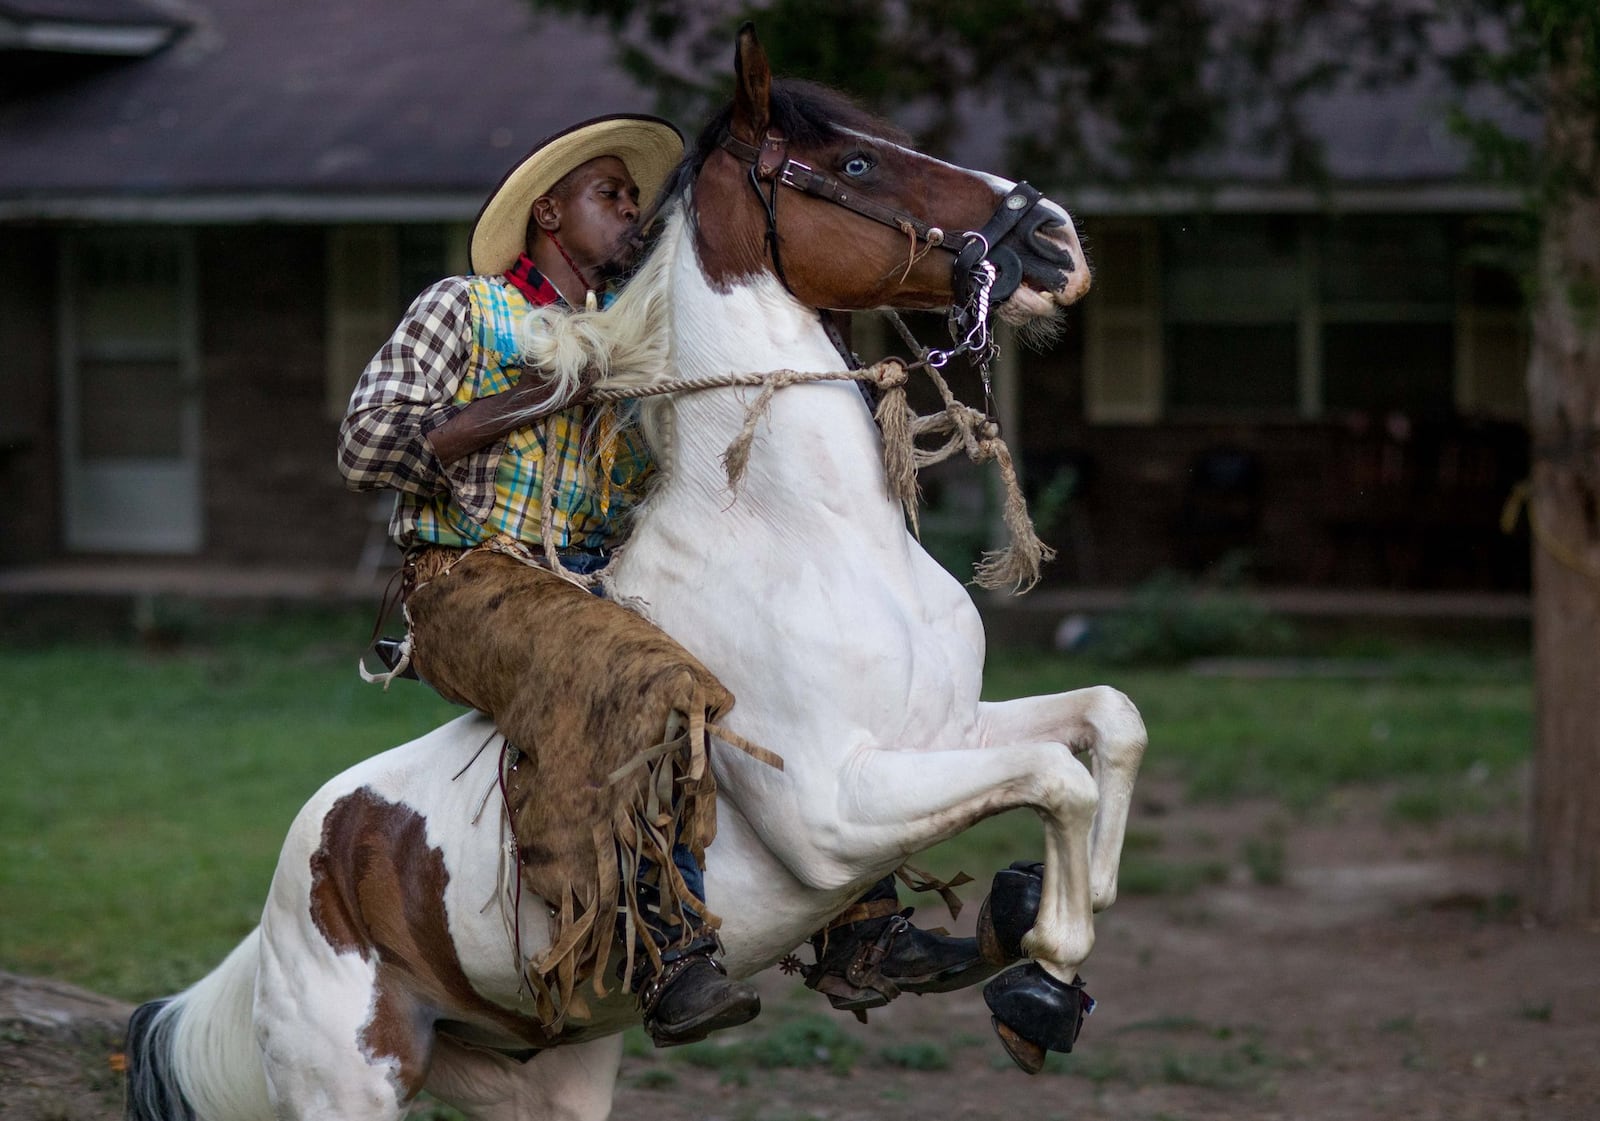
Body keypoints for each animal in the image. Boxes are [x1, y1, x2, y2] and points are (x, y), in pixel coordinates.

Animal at [131, 26, 1145, 1119]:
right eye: (855, 165)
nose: (1056, 240)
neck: (810, 536)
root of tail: (290, 893)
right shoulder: (833, 807)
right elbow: (1057, 778)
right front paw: (1045, 972)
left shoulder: (942, 734)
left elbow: (1108, 723)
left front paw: (1057, 920)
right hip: (346, 1090)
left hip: (548, 1084)